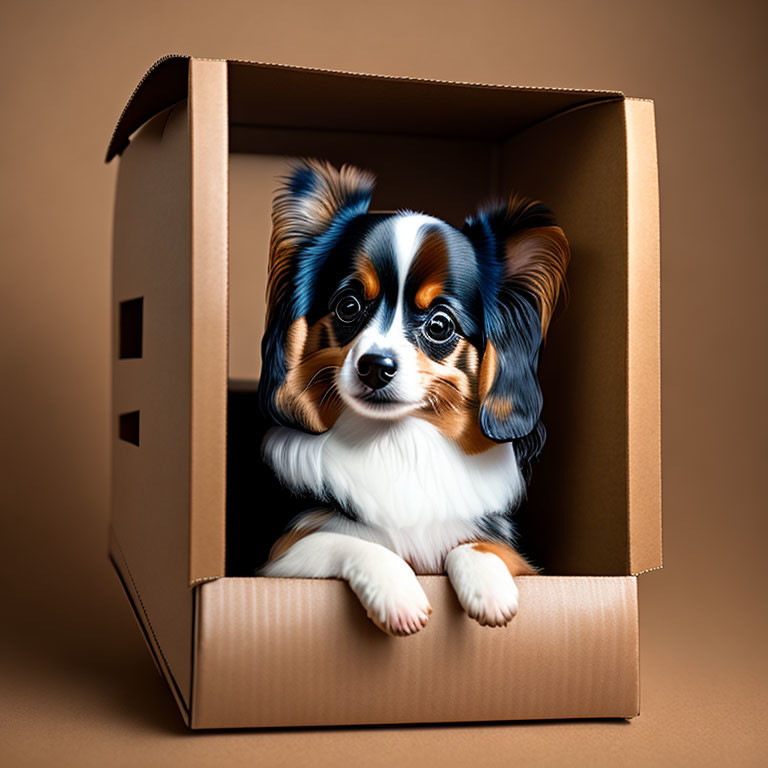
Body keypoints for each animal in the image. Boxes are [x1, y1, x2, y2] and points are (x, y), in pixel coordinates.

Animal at [258, 158, 568, 636]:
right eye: (348, 306)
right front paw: (400, 598)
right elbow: (348, 541)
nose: (375, 366)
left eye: (440, 325)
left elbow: (478, 545)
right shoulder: (282, 557)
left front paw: (490, 592)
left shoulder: (508, 547)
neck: (396, 439)